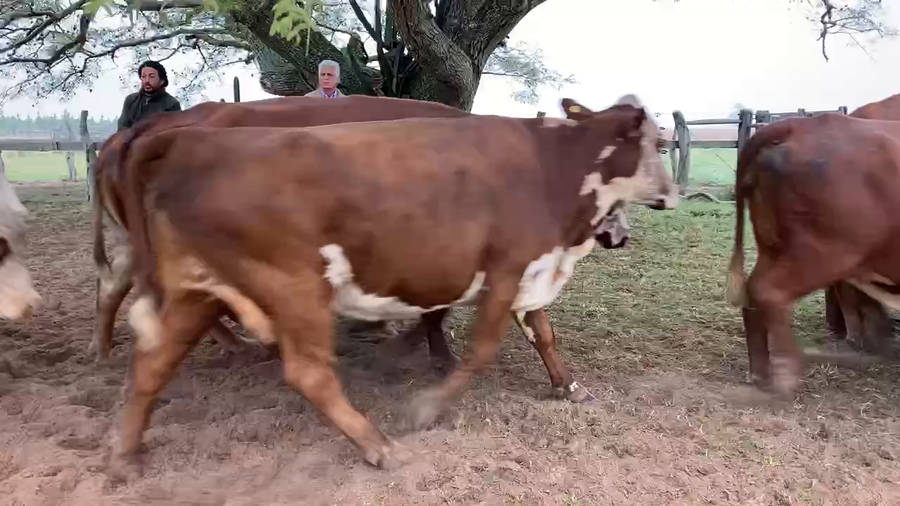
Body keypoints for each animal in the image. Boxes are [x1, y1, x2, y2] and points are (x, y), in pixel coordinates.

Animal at [107, 96, 677, 475]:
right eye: (661, 144)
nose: (671, 196)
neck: (552, 167)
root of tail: (190, 139)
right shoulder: (506, 268)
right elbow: (482, 348)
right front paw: (427, 404)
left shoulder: (530, 269)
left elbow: (543, 332)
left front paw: (568, 386)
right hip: (296, 287)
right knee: (308, 373)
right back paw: (376, 444)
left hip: (199, 291)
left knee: (153, 361)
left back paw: (128, 454)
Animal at [725, 111, 900, 398]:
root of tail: (796, 125)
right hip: (824, 253)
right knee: (768, 290)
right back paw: (786, 376)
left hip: (775, 247)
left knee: (753, 295)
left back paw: (761, 374)